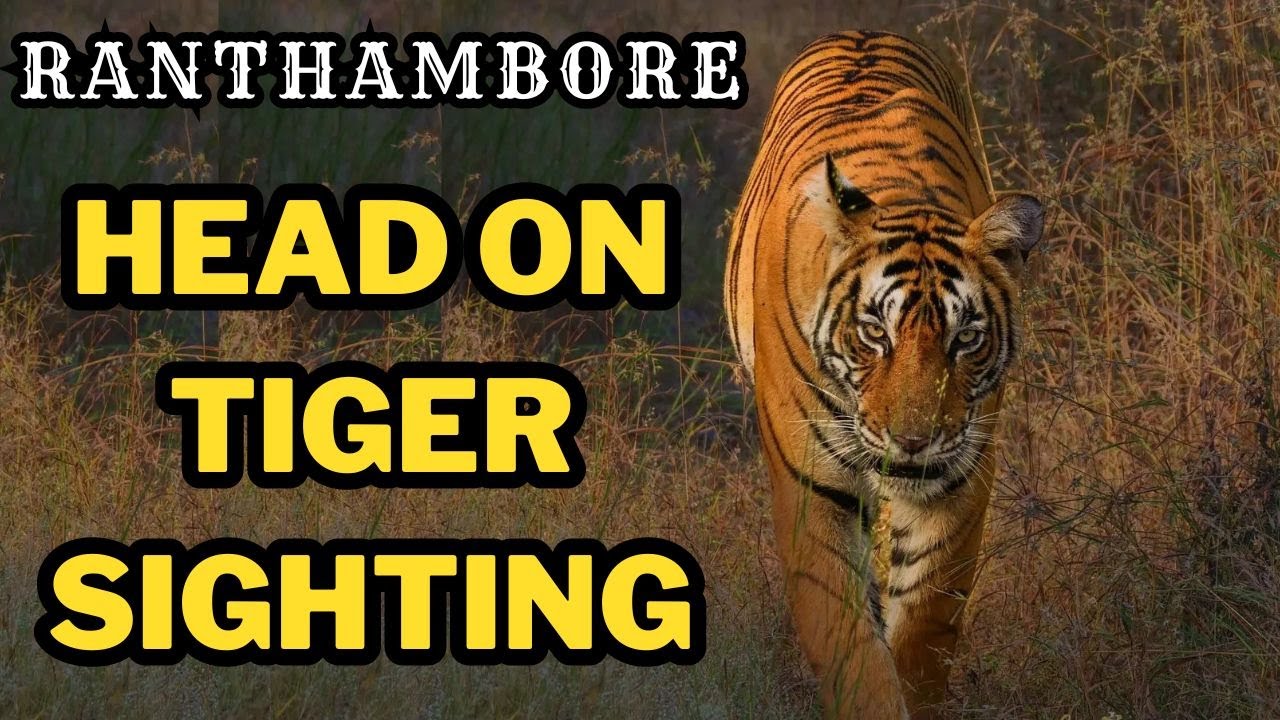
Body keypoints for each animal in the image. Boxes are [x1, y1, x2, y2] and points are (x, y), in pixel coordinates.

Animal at [724, 31, 1044, 719]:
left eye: (966, 338)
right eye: (875, 332)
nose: (912, 442)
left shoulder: (960, 481)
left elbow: (925, 623)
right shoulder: (813, 491)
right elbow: (850, 648)